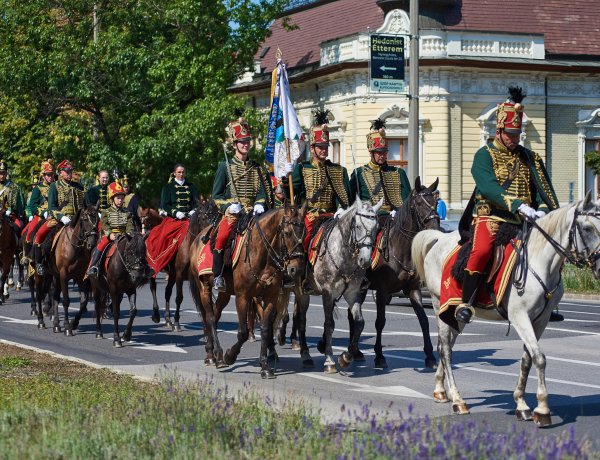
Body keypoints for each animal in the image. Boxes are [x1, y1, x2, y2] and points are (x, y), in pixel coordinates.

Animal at [49, 205, 99, 334]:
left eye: (98, 219)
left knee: (55, 296)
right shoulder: (64, 275)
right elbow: (66, 300)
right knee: (52, 296)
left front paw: (73, 323)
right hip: (53, 276)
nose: (92, 243)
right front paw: (67, 326)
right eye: (85, 219)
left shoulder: (81, 277)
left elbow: (83, 301)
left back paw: (56, 324)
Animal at [190, 201, 308, 378]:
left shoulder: (271, 297)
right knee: (209, 317)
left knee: (215, 315)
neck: (261, 253)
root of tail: (199, 238)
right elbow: (243, 332)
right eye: (287, 233)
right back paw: (217, 355)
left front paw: (265, 366)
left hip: (225, 293)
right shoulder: (243, 297)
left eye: (305, 232)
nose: (297, 269)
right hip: (204, 287)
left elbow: (266, 329)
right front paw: (230, 356)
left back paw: (211, 353)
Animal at [292, 197, 382, 374]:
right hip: (301, 292)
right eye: (358, 226)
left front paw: (346, 357)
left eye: (376, 229)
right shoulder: (327, 292)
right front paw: (329, 360)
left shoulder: (353, 293)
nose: (365, 261)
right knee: (301, 320)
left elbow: (359, 323)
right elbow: (329, 324)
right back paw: (305, 355)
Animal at [346, 177, 440, 370]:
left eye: (436, 202)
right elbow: (380, 322)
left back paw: (356, 351)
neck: (401, 248)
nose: (435, 229)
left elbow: (424, 320)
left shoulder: (413, 289)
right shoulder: (382, 291)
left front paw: (430, 356)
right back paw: (355, 350)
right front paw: (379, 356)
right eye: (419, 203)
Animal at [410, 192, 600, 426]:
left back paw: (440, 390)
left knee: (447, 345)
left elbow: (527, 359)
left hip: (455, 314)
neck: (540, 261)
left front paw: (522, 404)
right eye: (588, 228)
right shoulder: (520, 317)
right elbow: (539, 358)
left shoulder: (541, 319)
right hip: (440, 304)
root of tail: (439, 238)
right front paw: (542, 409)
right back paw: (457, 399)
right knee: (445, 349)